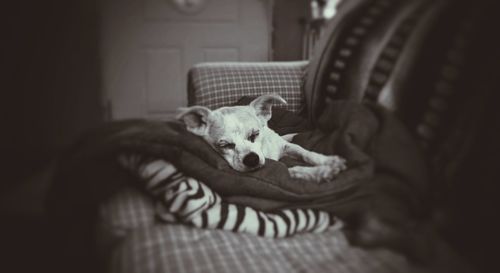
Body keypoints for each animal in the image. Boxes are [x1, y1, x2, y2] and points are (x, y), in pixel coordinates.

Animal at [177, 94, 348, 182]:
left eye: (255, 134)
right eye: (225, 145)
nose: (251, 159)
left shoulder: (286, 147)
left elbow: (306, 153)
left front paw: (328, 161)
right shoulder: (278, 171)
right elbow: (293, 170)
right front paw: (323, 171)